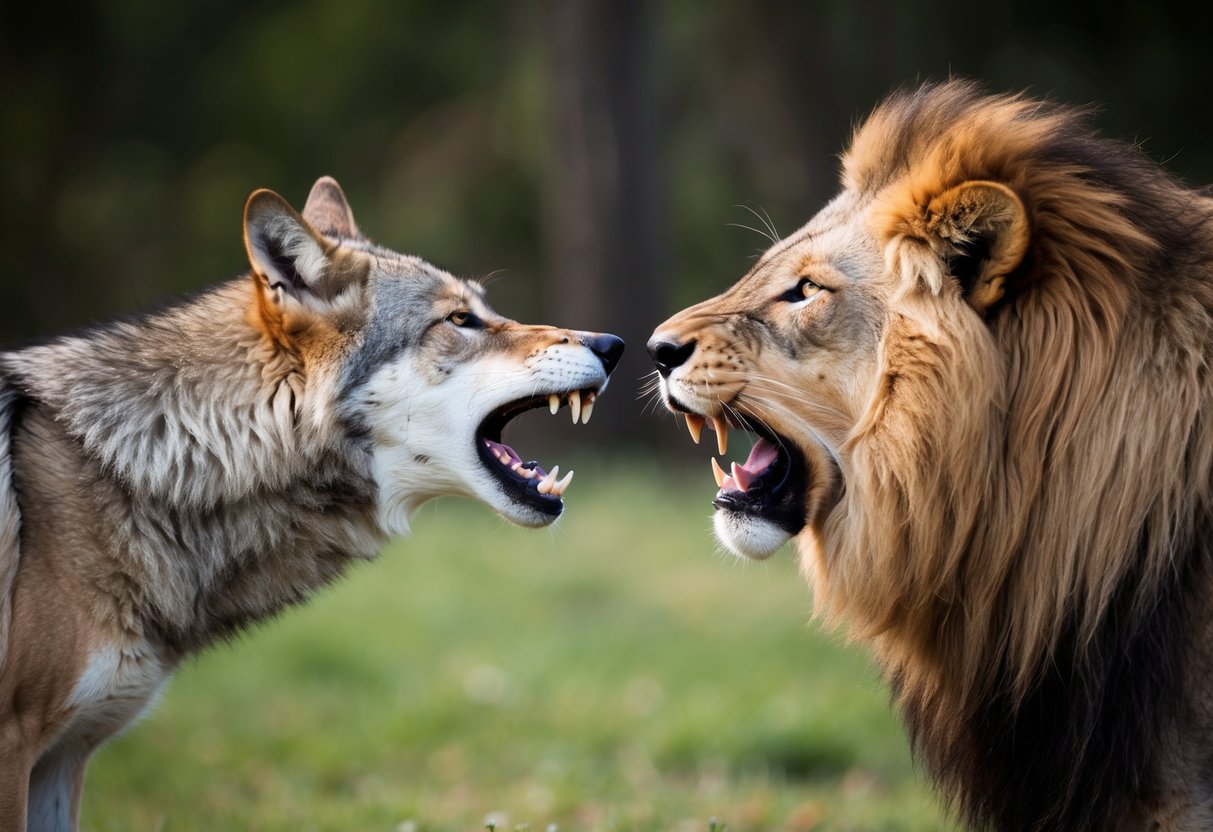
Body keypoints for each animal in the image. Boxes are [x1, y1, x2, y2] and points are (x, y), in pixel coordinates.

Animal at [0, 176, 623, 832]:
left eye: (485, 310)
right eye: (460, 319)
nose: (614, 344)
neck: (131, 466)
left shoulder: (65, 758)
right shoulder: (18, 747)